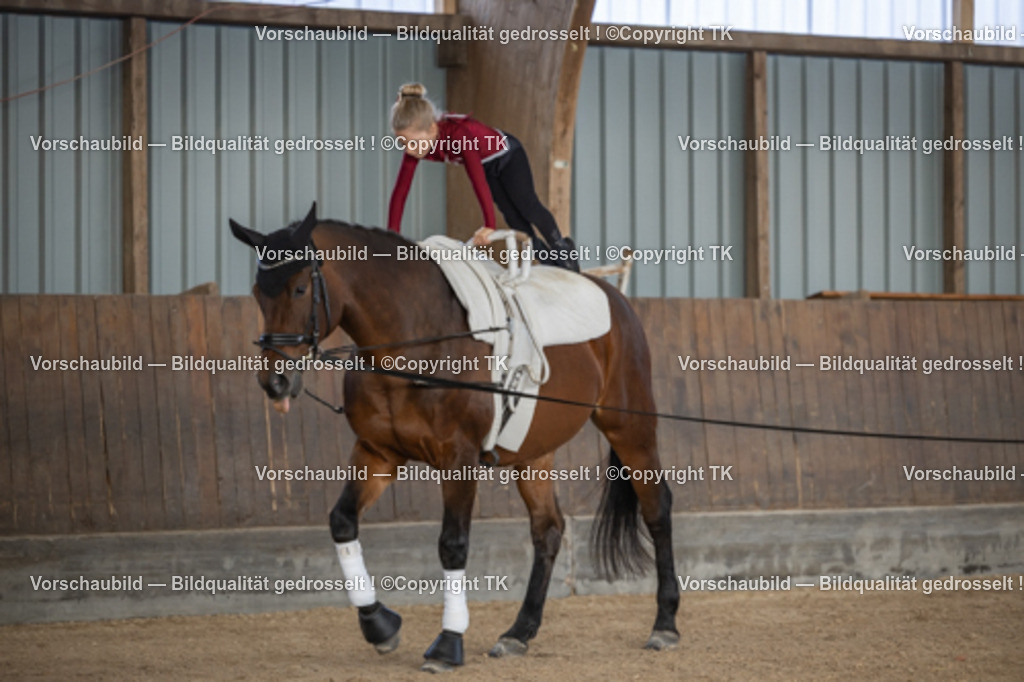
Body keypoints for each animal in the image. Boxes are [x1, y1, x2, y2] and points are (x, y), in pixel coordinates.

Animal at [229, 203, 679, 672]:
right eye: (258, 293)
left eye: (300, 289)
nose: (275, 381)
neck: (412, 341)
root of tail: (614, 296)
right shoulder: (377, 452)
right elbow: (342, 520)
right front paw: (379, 625)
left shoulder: (459, 458)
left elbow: (452, 545)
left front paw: (447, 643)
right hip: (533, 452)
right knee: (549, 529)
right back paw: (518, 633)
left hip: (628, 425)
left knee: (656, 507)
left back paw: (664, 624)